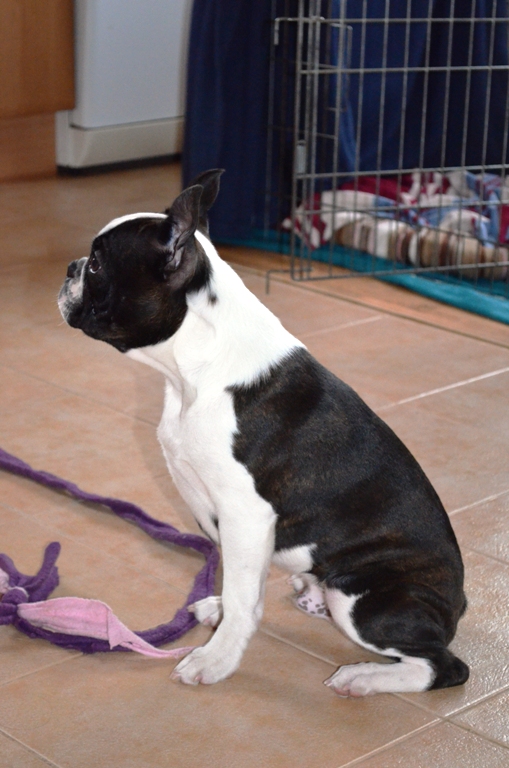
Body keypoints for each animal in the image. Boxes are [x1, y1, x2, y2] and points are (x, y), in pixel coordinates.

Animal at [58, 169, 469, 696]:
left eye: (97, 266)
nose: (71, 267)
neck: (192, 373)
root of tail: (457, 602)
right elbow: (238, 585)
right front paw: (220, 614)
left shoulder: (246, 513)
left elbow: (243, 596)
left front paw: (215, 659)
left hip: (362, 598)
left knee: (442, 667)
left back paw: (363, 676)